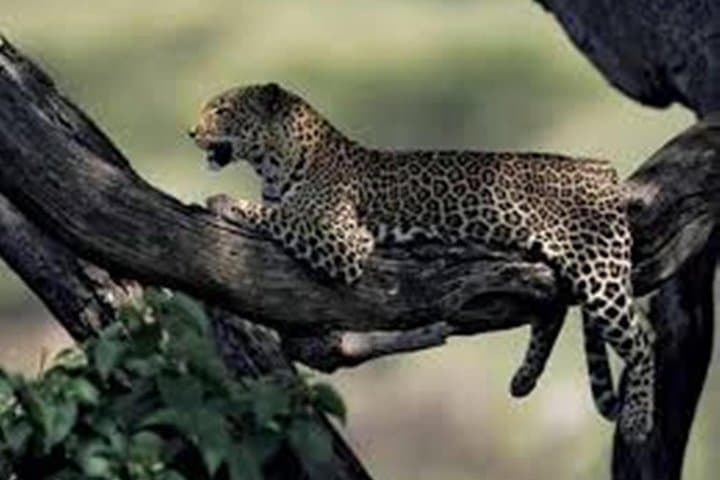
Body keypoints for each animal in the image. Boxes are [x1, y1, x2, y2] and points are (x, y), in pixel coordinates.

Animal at [189, 83, 655, 442]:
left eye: (222, 110)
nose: (191, 132)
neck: (274, 164)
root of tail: (601, 167)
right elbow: (278, 213)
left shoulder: (343, 240)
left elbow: (279, 216)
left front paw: (223, 201)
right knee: (551, 307)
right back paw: (524, 378)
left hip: (599, 271)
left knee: (644, 338)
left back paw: (637, 421)